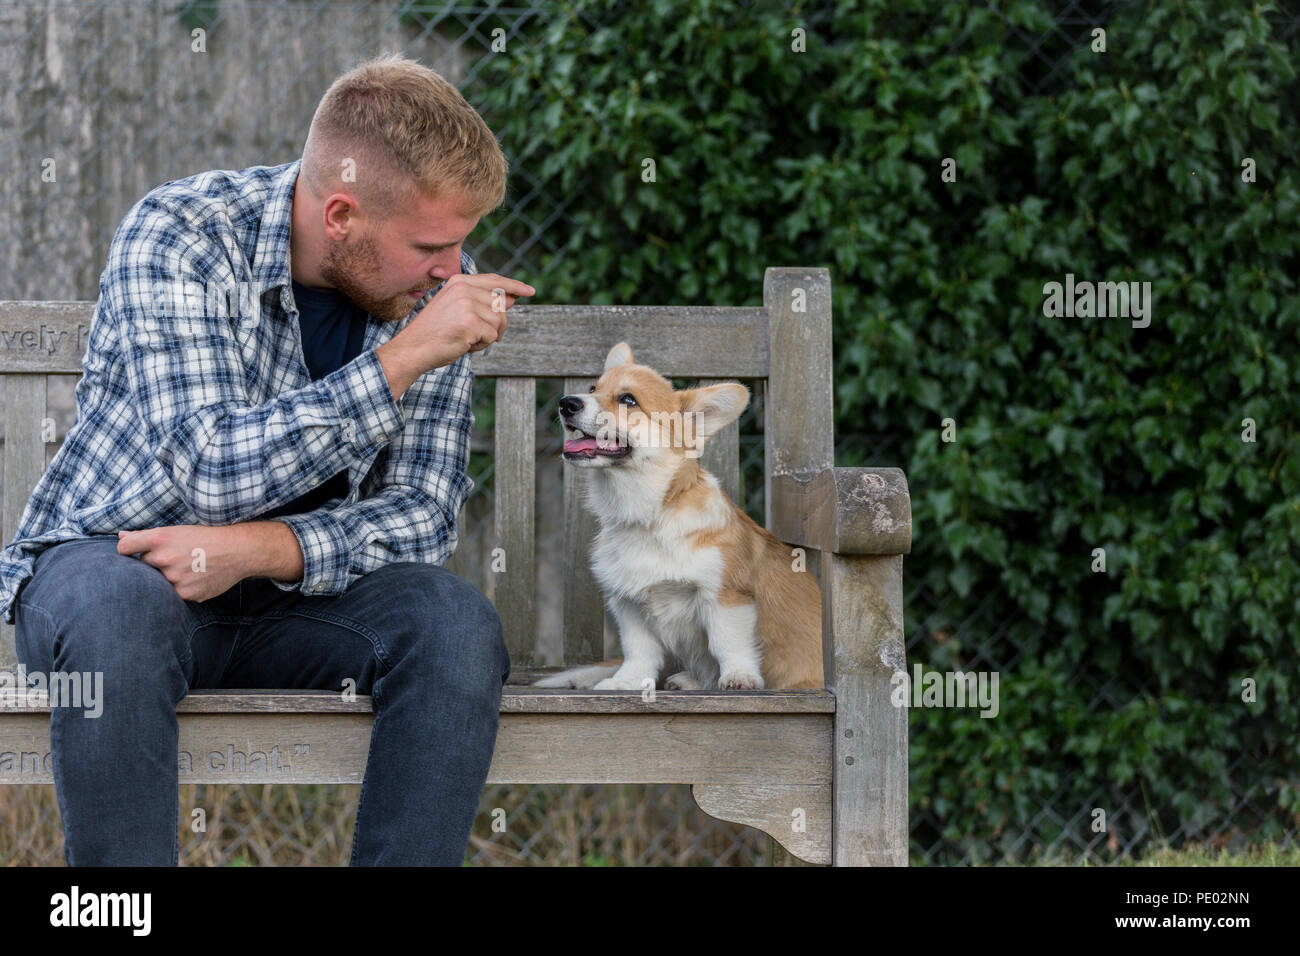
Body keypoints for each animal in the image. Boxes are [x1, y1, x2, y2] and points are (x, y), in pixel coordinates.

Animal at [530, 343, 821, 697]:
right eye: (592, 388)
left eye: (628, 399)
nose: (566, 403)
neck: (648, 516)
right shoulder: (629, 604)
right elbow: (639, 650)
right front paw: (627, 682)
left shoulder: (724, 596)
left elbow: (727, 643)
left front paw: (739, 677)